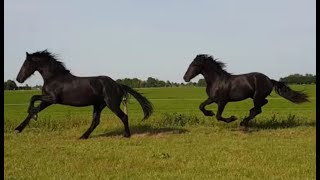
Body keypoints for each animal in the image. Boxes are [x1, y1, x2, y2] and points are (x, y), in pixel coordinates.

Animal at [15, 50, 153, 139]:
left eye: (26, 64)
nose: (18, 79)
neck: (54, 77)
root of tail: (118, 85)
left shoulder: (53, 99)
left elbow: (33, 98)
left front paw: (33, 115)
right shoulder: (47, 101)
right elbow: (34, 108)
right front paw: (18, 128)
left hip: (111, 104)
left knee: (123, 116)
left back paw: (126, 135)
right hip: (98, 105)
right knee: (96, 121)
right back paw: (83, 136)